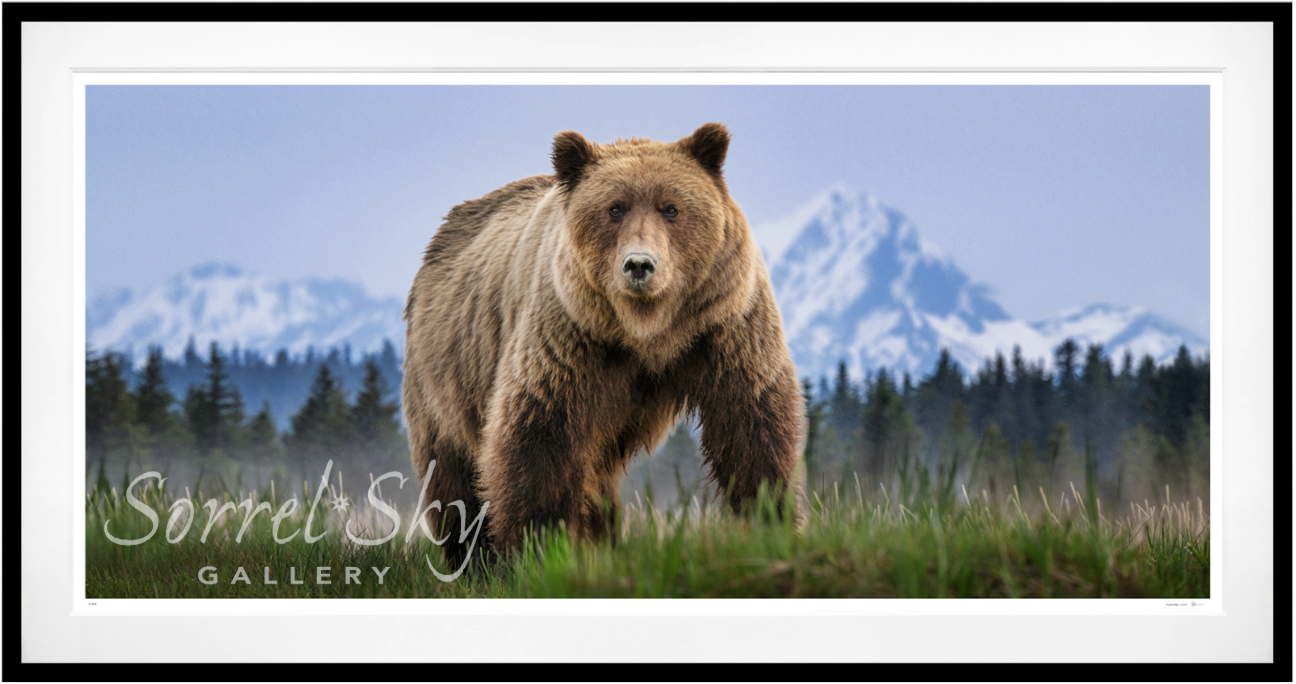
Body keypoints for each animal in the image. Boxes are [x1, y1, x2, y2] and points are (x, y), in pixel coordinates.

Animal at [402, 123, 804, 570]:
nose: (640, 265)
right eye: (615, 208)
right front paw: (540, 546)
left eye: (671, 208)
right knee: (452, 471)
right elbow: (541, 434)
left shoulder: (723, 321)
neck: (647, 329)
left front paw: (770, 519)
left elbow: (751, 422)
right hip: (444, 372)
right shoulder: (572, 333)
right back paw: (473, 558)